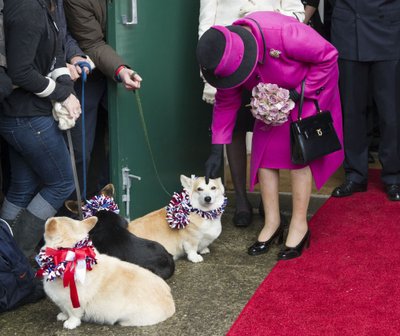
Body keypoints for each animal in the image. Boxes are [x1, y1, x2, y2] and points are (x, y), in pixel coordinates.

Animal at [38, 217, 174, 330]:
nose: (48, 219)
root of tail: (171, 305)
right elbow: (64, 310)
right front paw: (63, 315)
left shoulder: (73, 303)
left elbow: (74, 314)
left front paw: (70, 323)